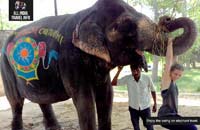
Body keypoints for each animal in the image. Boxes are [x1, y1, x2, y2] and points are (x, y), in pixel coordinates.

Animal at [0, 0, 197, 129]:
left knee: (42, 100)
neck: (87, 13)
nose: (167, 19)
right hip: (5, 67)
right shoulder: (69, 59)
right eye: (127, 25)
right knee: (16, 103)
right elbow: (84, 100)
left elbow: (107, 96)